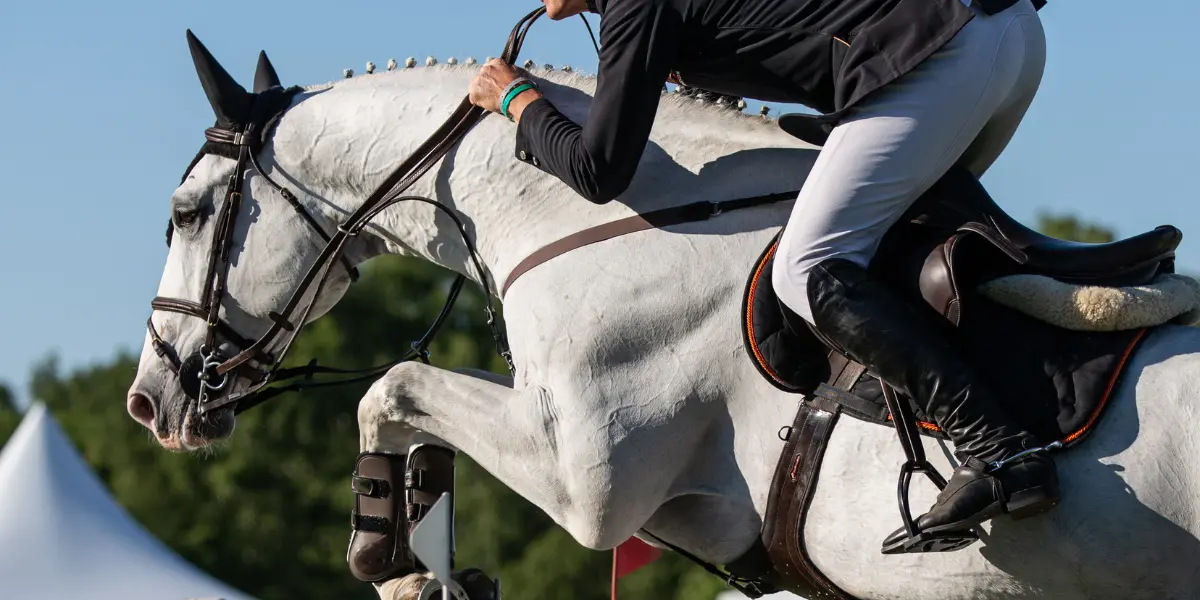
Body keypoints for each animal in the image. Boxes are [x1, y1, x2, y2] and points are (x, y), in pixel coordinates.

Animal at [125, 31, 1200, 600]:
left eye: (185, 212)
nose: (148, 401)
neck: (596, 217)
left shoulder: (586, 480)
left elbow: (389, 386)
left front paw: (384, 553)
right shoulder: (711, 522)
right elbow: (409, 402)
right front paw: (417, 557)